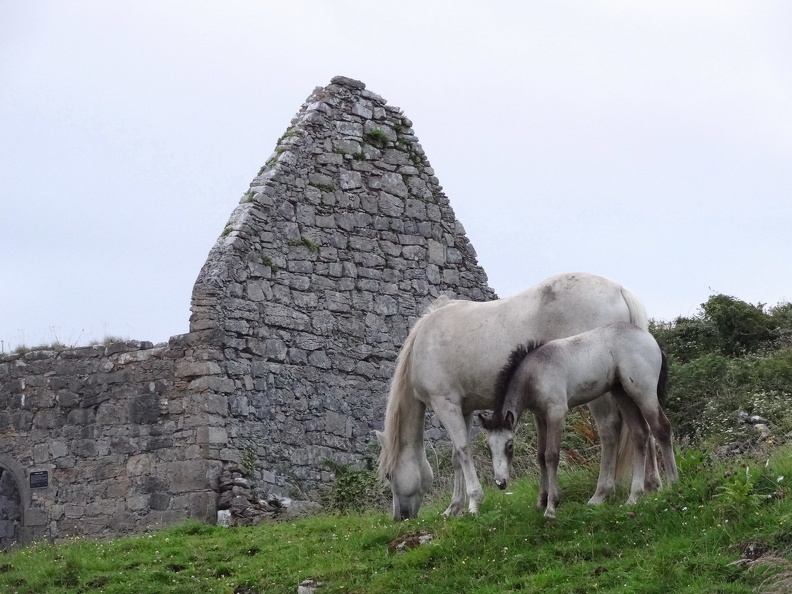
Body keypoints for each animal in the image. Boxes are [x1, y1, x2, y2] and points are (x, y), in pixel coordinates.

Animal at [479, 322, 679, 518]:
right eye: (488, 446)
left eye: (510, 445)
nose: (501, 483)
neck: (535, 372)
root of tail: (650, 338)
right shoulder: (540, 417)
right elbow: (541, 456)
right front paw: (541, 501)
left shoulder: (556, 413)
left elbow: (551, 455)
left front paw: (551, 507)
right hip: (622, 393)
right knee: (640, 433)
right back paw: (634, 497)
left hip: (642, 391)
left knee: (661, 427)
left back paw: (673, 484)